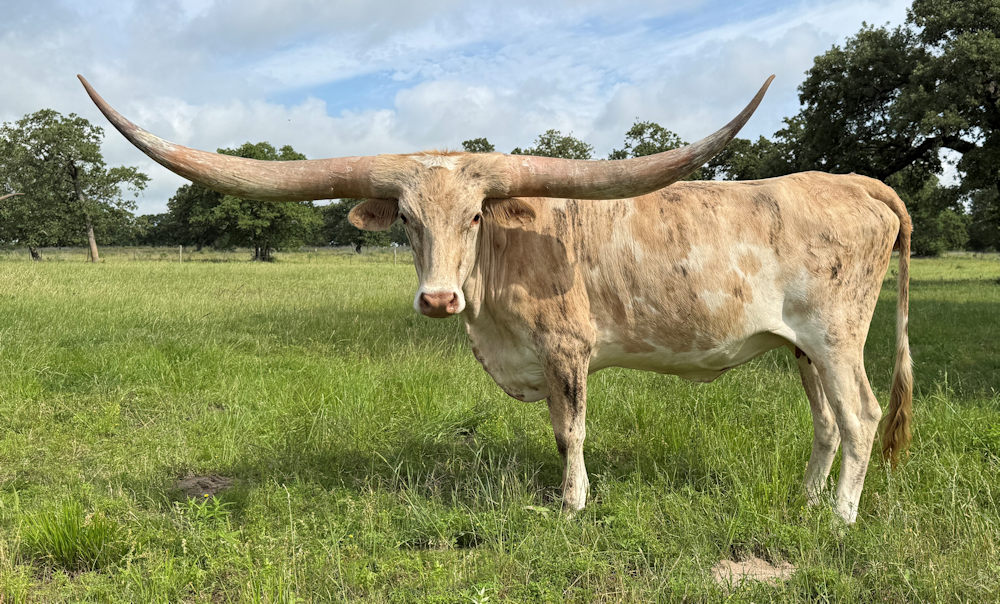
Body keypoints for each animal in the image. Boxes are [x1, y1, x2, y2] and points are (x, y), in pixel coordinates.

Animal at [79, 74, 912, 524]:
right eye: (406, 221)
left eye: (476, 216)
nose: (438, 300)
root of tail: (853, 182)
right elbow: (555, 433)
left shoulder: (569, 349)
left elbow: (573, 431)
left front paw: (574, 504)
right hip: (799, 348)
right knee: (828, 425)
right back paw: (806, 503)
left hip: (837, 336)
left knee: (862, 416)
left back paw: (839, 519)